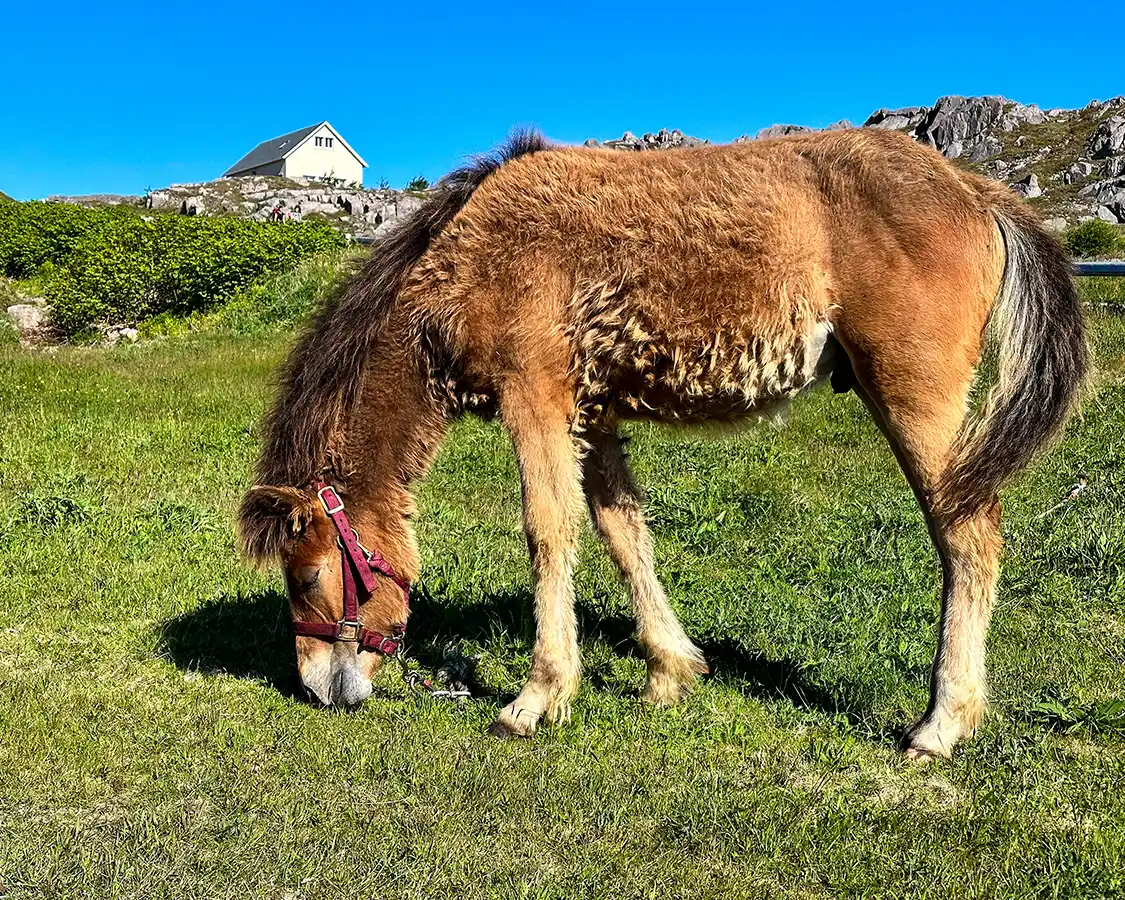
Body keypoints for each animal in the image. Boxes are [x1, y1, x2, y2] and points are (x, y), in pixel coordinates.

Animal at [238, 128, 1087, 760]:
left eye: (308, 577)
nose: (316, 689)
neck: (468, 256)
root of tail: (972, 188)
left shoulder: (533, 398)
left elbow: (549, 531)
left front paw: (538, 696)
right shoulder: (592, 414)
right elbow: (622, 532)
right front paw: (669, 670)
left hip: (914, 394)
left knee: (968, 538)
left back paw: (940, 724)